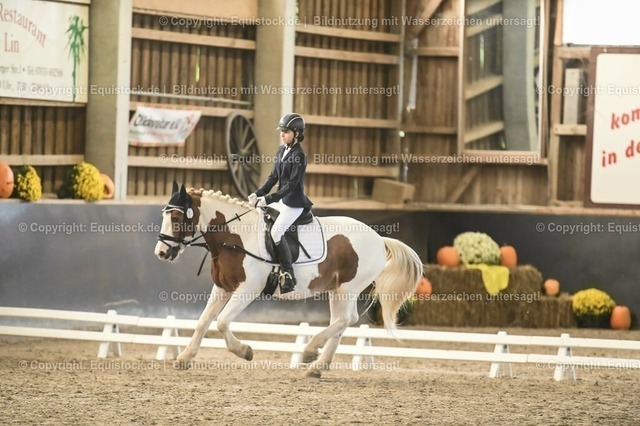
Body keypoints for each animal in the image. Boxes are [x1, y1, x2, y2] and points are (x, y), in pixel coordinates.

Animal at [154, 182, 423, 378]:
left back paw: (309, 352)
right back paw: (317, 367)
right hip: (336, 289)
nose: (161, 253)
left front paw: (245, 351)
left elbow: (221, 322)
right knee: (341, 321)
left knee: (347, 319)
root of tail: (379, 238)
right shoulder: (222, 288)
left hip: (349, 288)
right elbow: (203, 321)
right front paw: (184, 358)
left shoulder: (247, 290)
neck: (235, 237)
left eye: (176, 219)